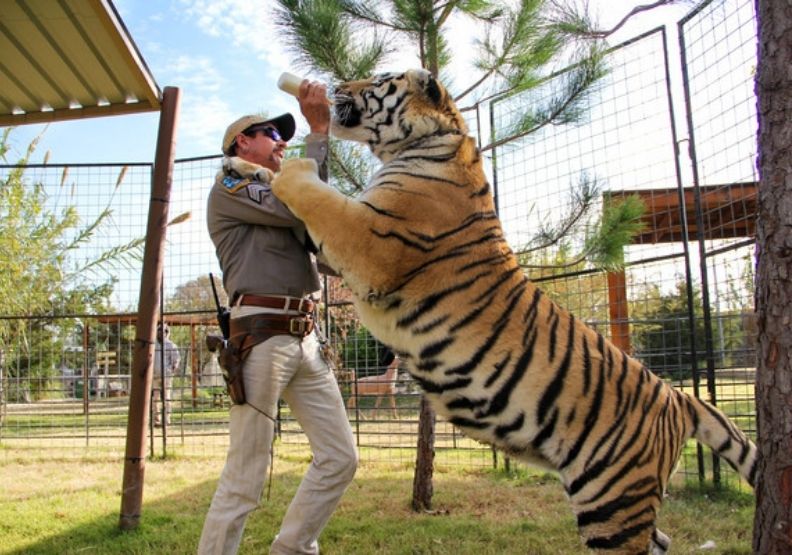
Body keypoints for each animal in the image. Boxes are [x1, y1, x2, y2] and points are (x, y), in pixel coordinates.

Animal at [240, 68, 757, 553]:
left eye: (380, 79)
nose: (336, 87)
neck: (427, 142)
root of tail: (677, 397)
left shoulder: (369, 241)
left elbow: (315, 193)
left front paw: (287, 166)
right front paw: (247, 167)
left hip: (612, 498)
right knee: (661, 540)